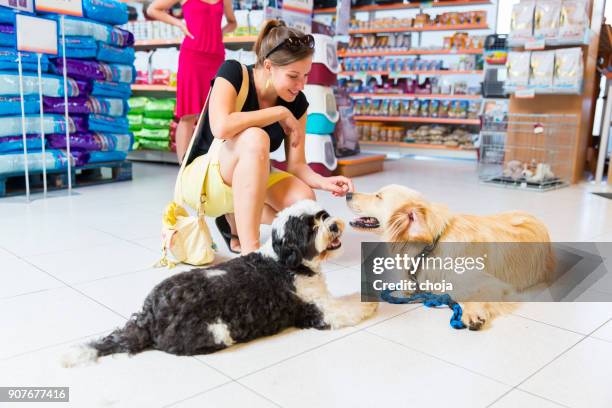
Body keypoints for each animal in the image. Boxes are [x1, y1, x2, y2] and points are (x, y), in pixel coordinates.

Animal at [63, 199, 378, 364]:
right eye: (311, 228)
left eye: (323, 216)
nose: (333, 225)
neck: (287, 262)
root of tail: (149, 316)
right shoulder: (319, 311)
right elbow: (348, 309)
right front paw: (369, 305)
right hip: (217, 332)